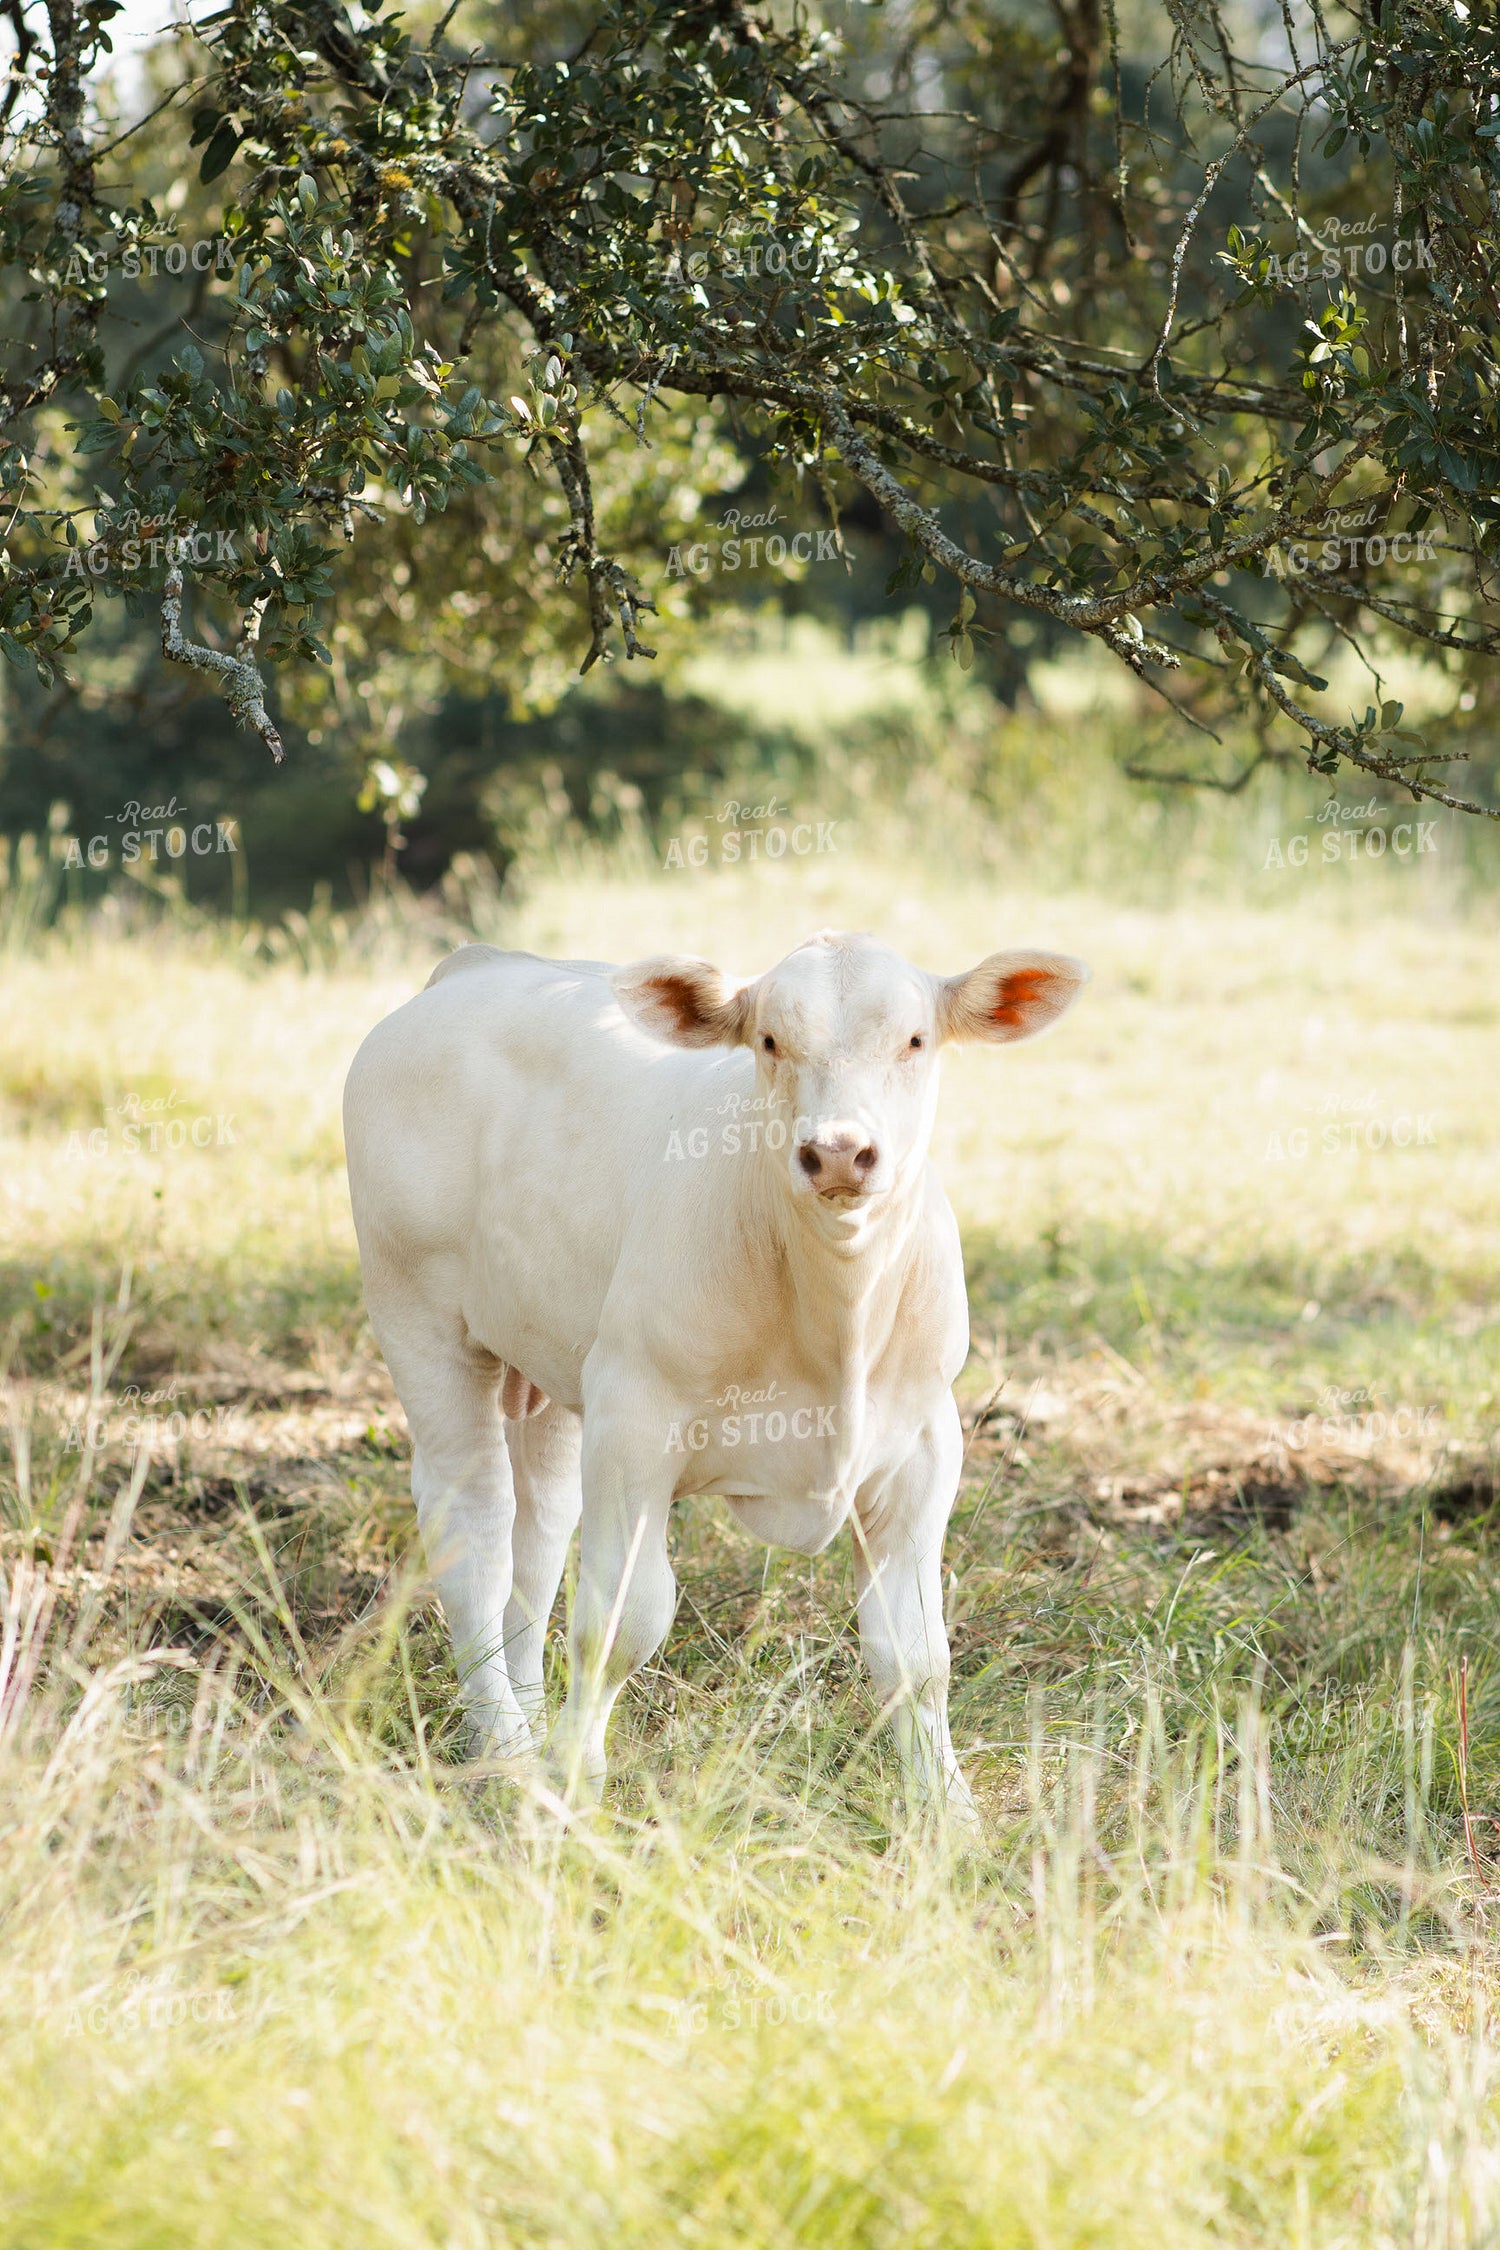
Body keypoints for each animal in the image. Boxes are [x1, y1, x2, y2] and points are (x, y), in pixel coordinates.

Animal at [342, 929, 1088, 1822]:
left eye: (914, 1040)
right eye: (769, 1041)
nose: (838, 1152)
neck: (833, 1315)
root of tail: (477, 963)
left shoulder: (923, 1443)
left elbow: (916, 1653)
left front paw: (951, 1813)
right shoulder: (635, 1419)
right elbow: (620, 1624)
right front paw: (573, 1782)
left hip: (549, 1359)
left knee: (540, 1526)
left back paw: (526, 1720)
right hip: (417, 1314)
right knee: (474, 1523)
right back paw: (507, 1748)